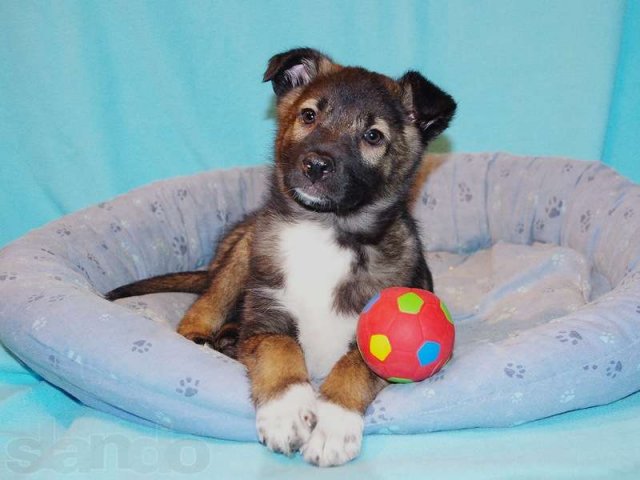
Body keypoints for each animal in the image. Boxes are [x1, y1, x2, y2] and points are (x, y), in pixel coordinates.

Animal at [107, 47, 456, 464]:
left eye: (373, 136)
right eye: (309, 115)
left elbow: (356, 364)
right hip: (241, 254)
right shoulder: (266, 317)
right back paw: (207, 338)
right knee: (203, 306)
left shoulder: (373, 331)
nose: (316, 165)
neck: (326, 230)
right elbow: (282, 348)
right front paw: (286, 412)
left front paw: (333, 426)